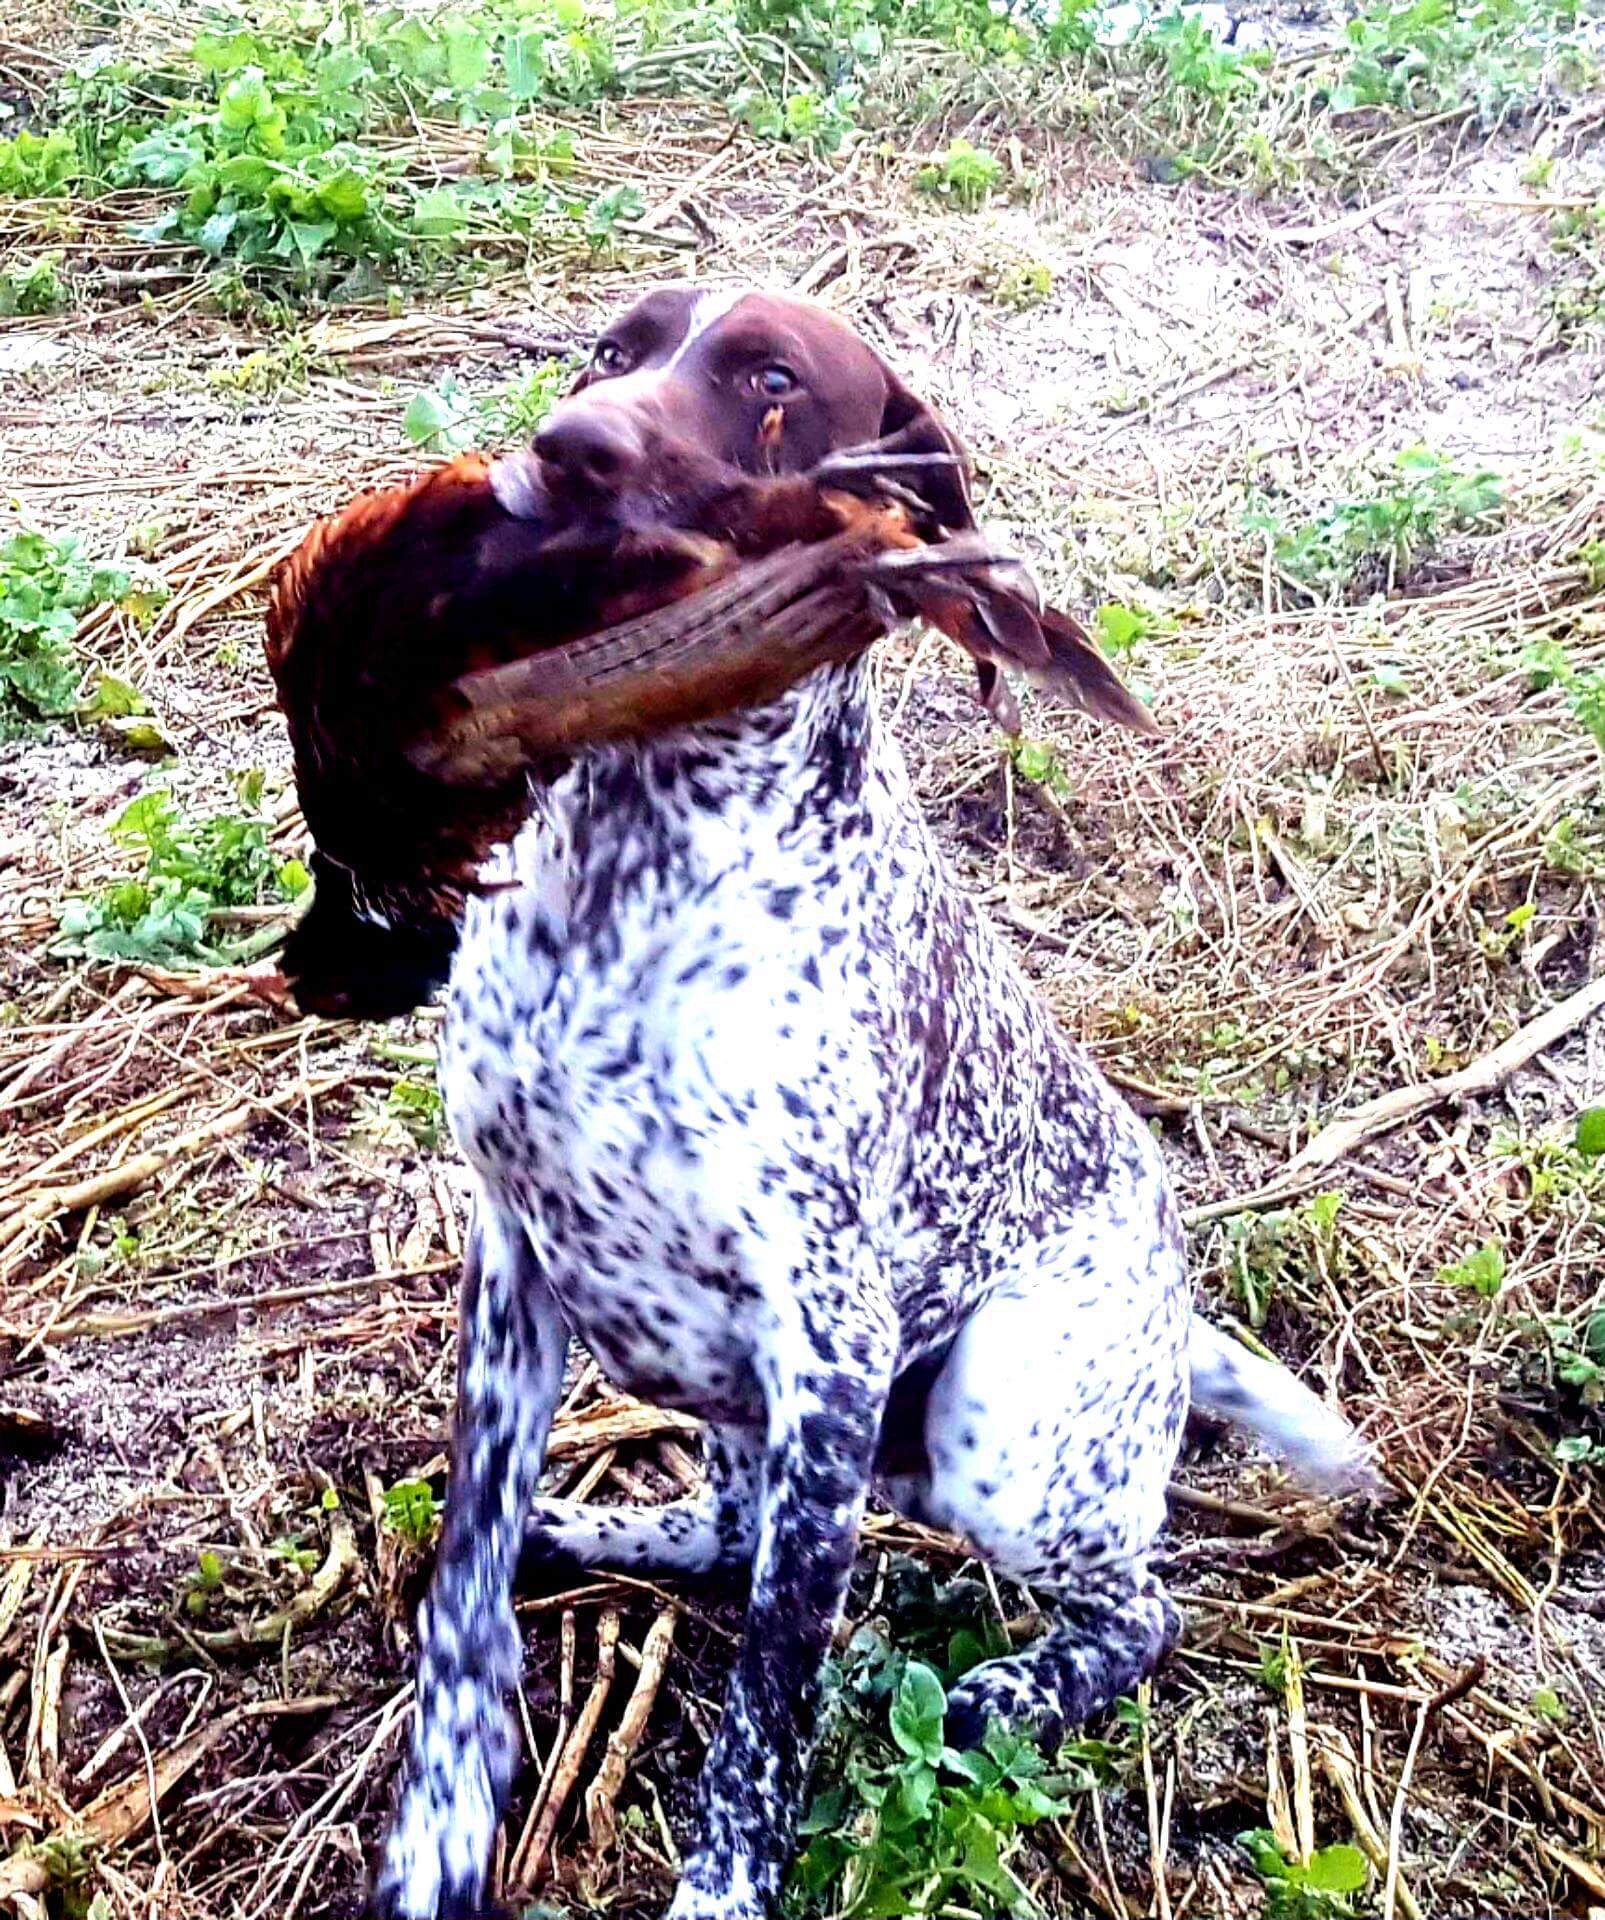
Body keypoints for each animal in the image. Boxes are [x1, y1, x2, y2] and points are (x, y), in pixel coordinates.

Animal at [371, 286, 1376, 1919]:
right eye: (613, 351)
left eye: (772, 380)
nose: (564, 452)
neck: (640, 867)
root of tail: (1176, 1322)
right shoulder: (511, 1267)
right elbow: (466, 1585)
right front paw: (441, 1822)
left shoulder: (829, 1338)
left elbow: (767, 1697)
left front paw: (723, 1884)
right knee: (732, 1534)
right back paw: (589, 1528)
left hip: (999, 1432)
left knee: (1135, 1608)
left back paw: (1005, 1693)